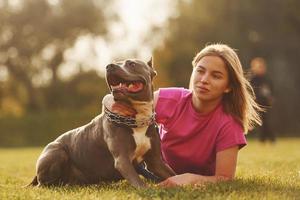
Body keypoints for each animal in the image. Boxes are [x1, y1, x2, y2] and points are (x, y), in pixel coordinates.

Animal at [28, 57, 176, 188]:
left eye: (131, 64)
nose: (109, 66)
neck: (137, 120)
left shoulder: (155, 161)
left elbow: (172, 174)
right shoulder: (122, 160)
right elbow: (140, 183)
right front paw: (150, 190)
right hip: (57, 152)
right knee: (43, 184)